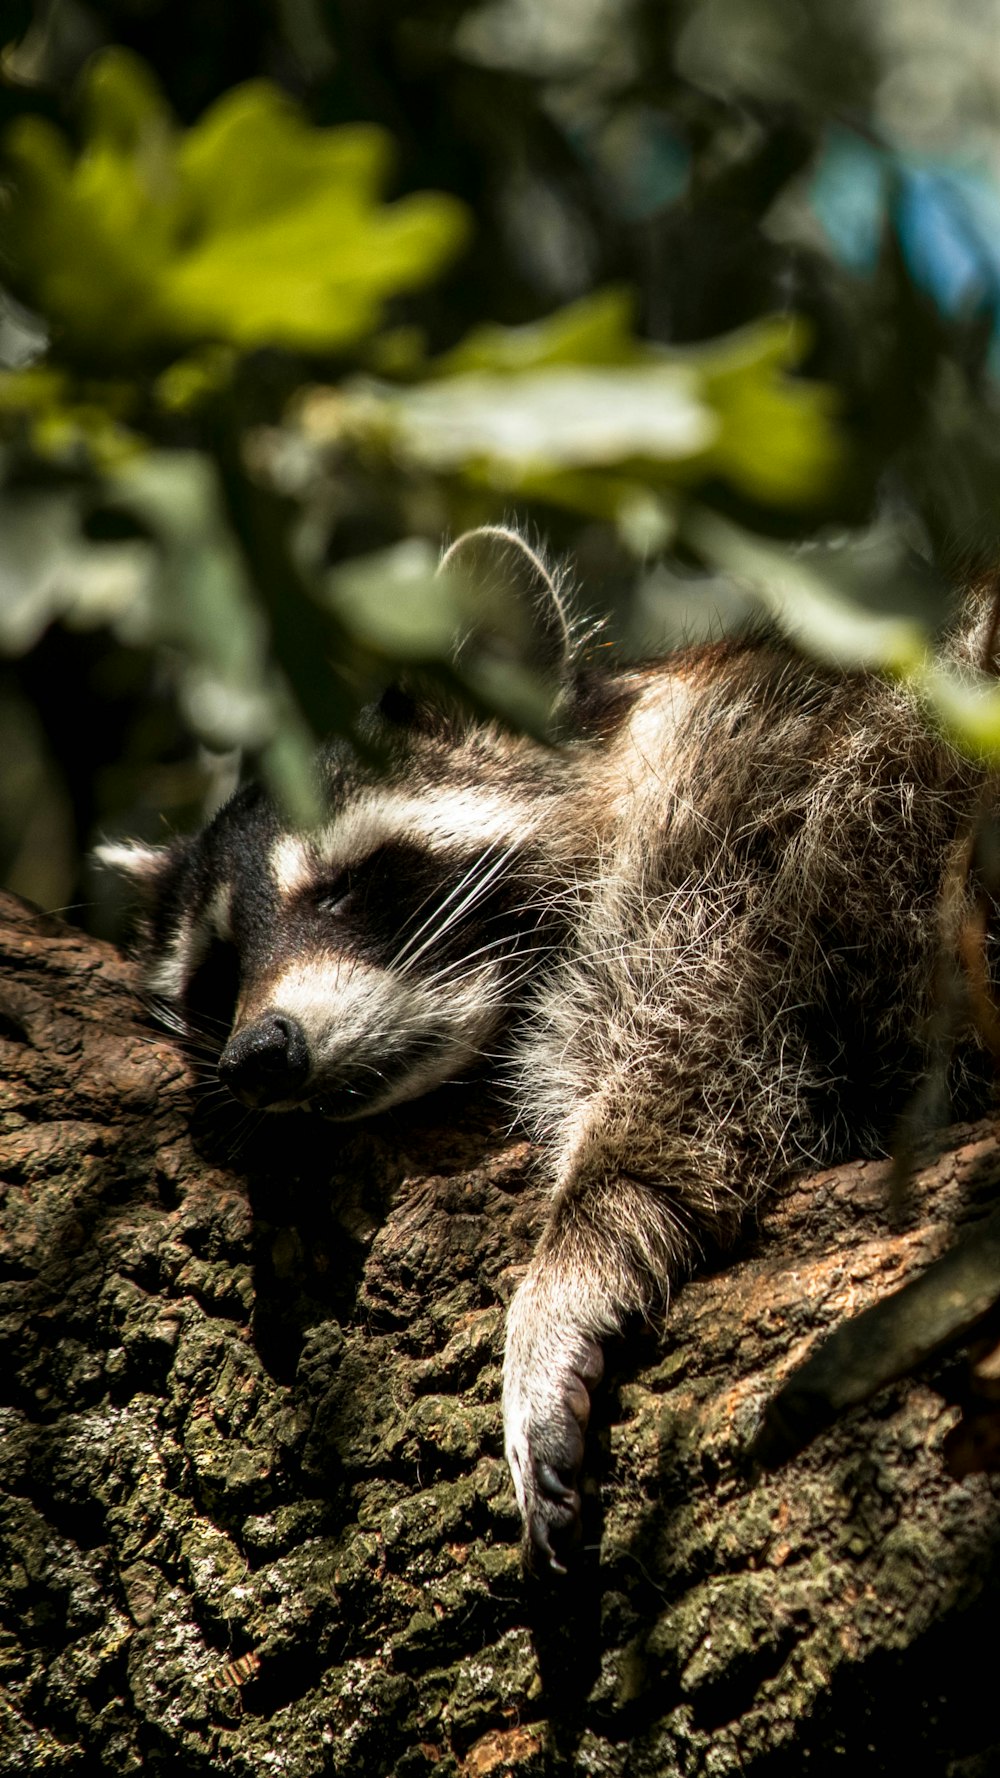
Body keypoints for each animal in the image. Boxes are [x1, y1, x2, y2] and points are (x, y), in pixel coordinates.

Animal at [97, 522, 989, 1571]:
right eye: (220, 971)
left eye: (346, 890)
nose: (259, 1056)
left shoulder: (752, 807)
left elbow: (712, 1032)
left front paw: (587, 1241)